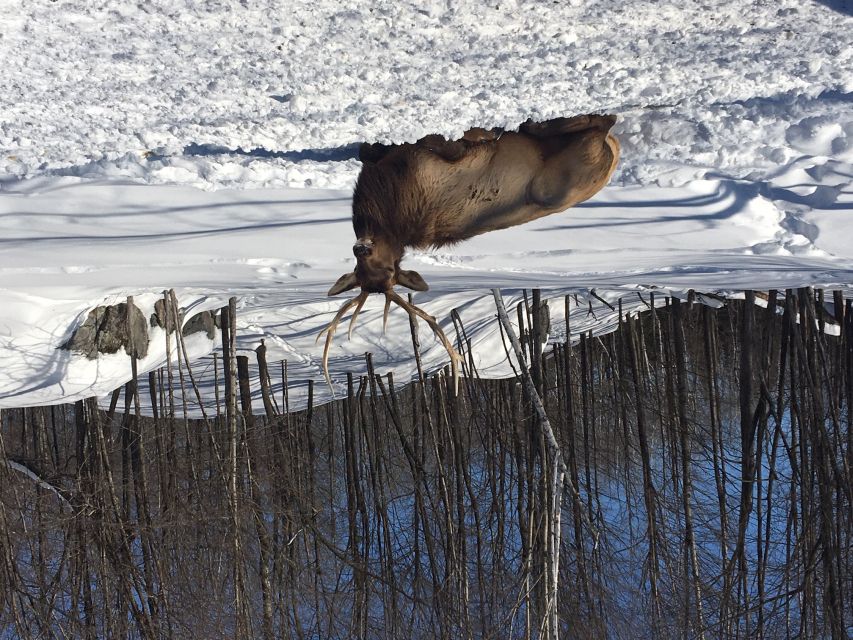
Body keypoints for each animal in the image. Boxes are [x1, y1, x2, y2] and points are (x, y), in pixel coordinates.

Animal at [320, 112, 620, 388]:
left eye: (387, 269)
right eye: (363, 272)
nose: (362, 247)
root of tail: (613, 155)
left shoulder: (439, 152)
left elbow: (378, 147)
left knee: (596, 125)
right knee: (597, 126)